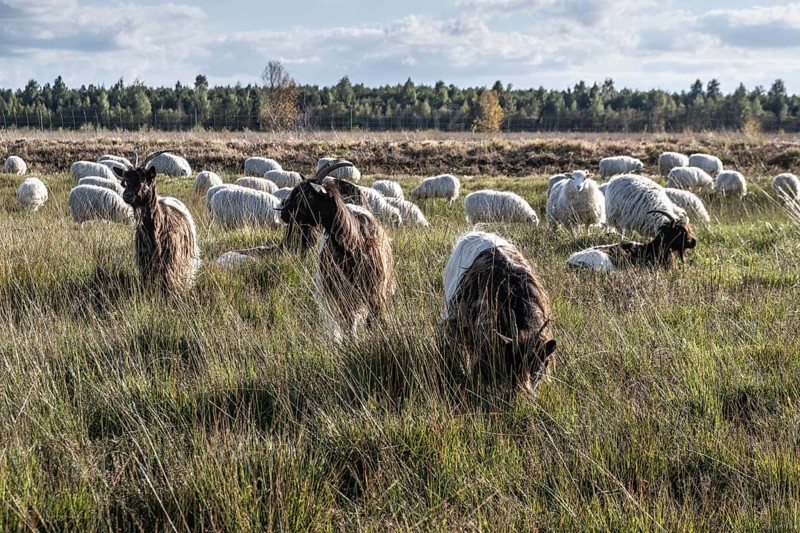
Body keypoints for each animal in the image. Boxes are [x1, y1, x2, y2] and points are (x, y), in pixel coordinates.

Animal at [113, 151, 201, 293]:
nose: (127, 195)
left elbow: (167, 282)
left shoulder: (170, 262)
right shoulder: (145, 262)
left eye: (144, 180)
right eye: (124, 182)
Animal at [280, 160, 395, 341]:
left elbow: (375, 319)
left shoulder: (375, 291)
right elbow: (347, 321)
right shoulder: (340, 291)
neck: (354, 242)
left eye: (308, 195)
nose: (283, 212)